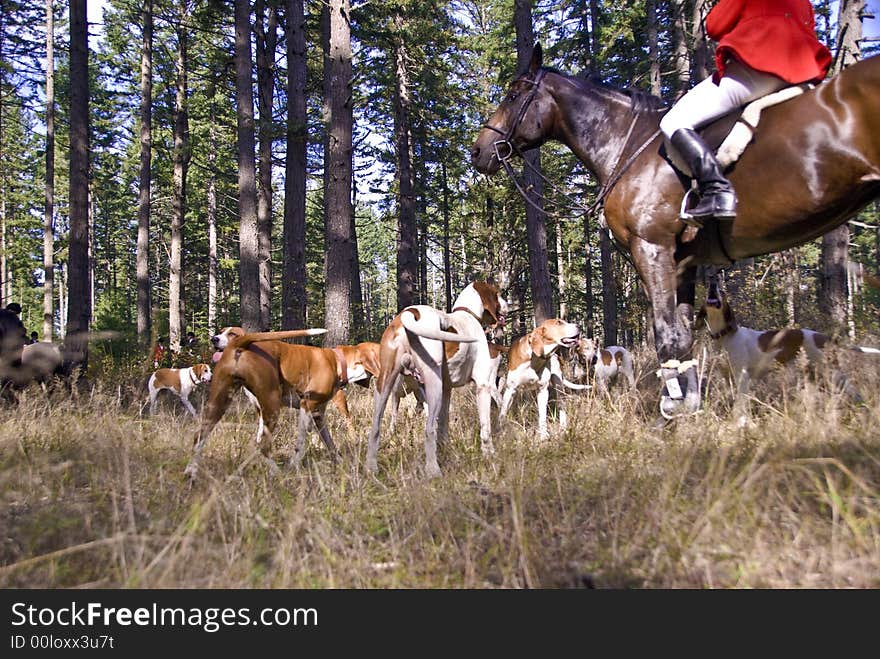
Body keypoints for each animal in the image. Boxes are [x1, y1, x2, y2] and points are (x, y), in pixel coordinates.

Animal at [470, 45, 880, 418]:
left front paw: (671, 414)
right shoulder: (684, 262)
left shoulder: (652, 250)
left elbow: (666, 338)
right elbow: (683, 339)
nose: (478, 151)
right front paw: (689, 409)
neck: (630, 147)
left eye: (513, 95)